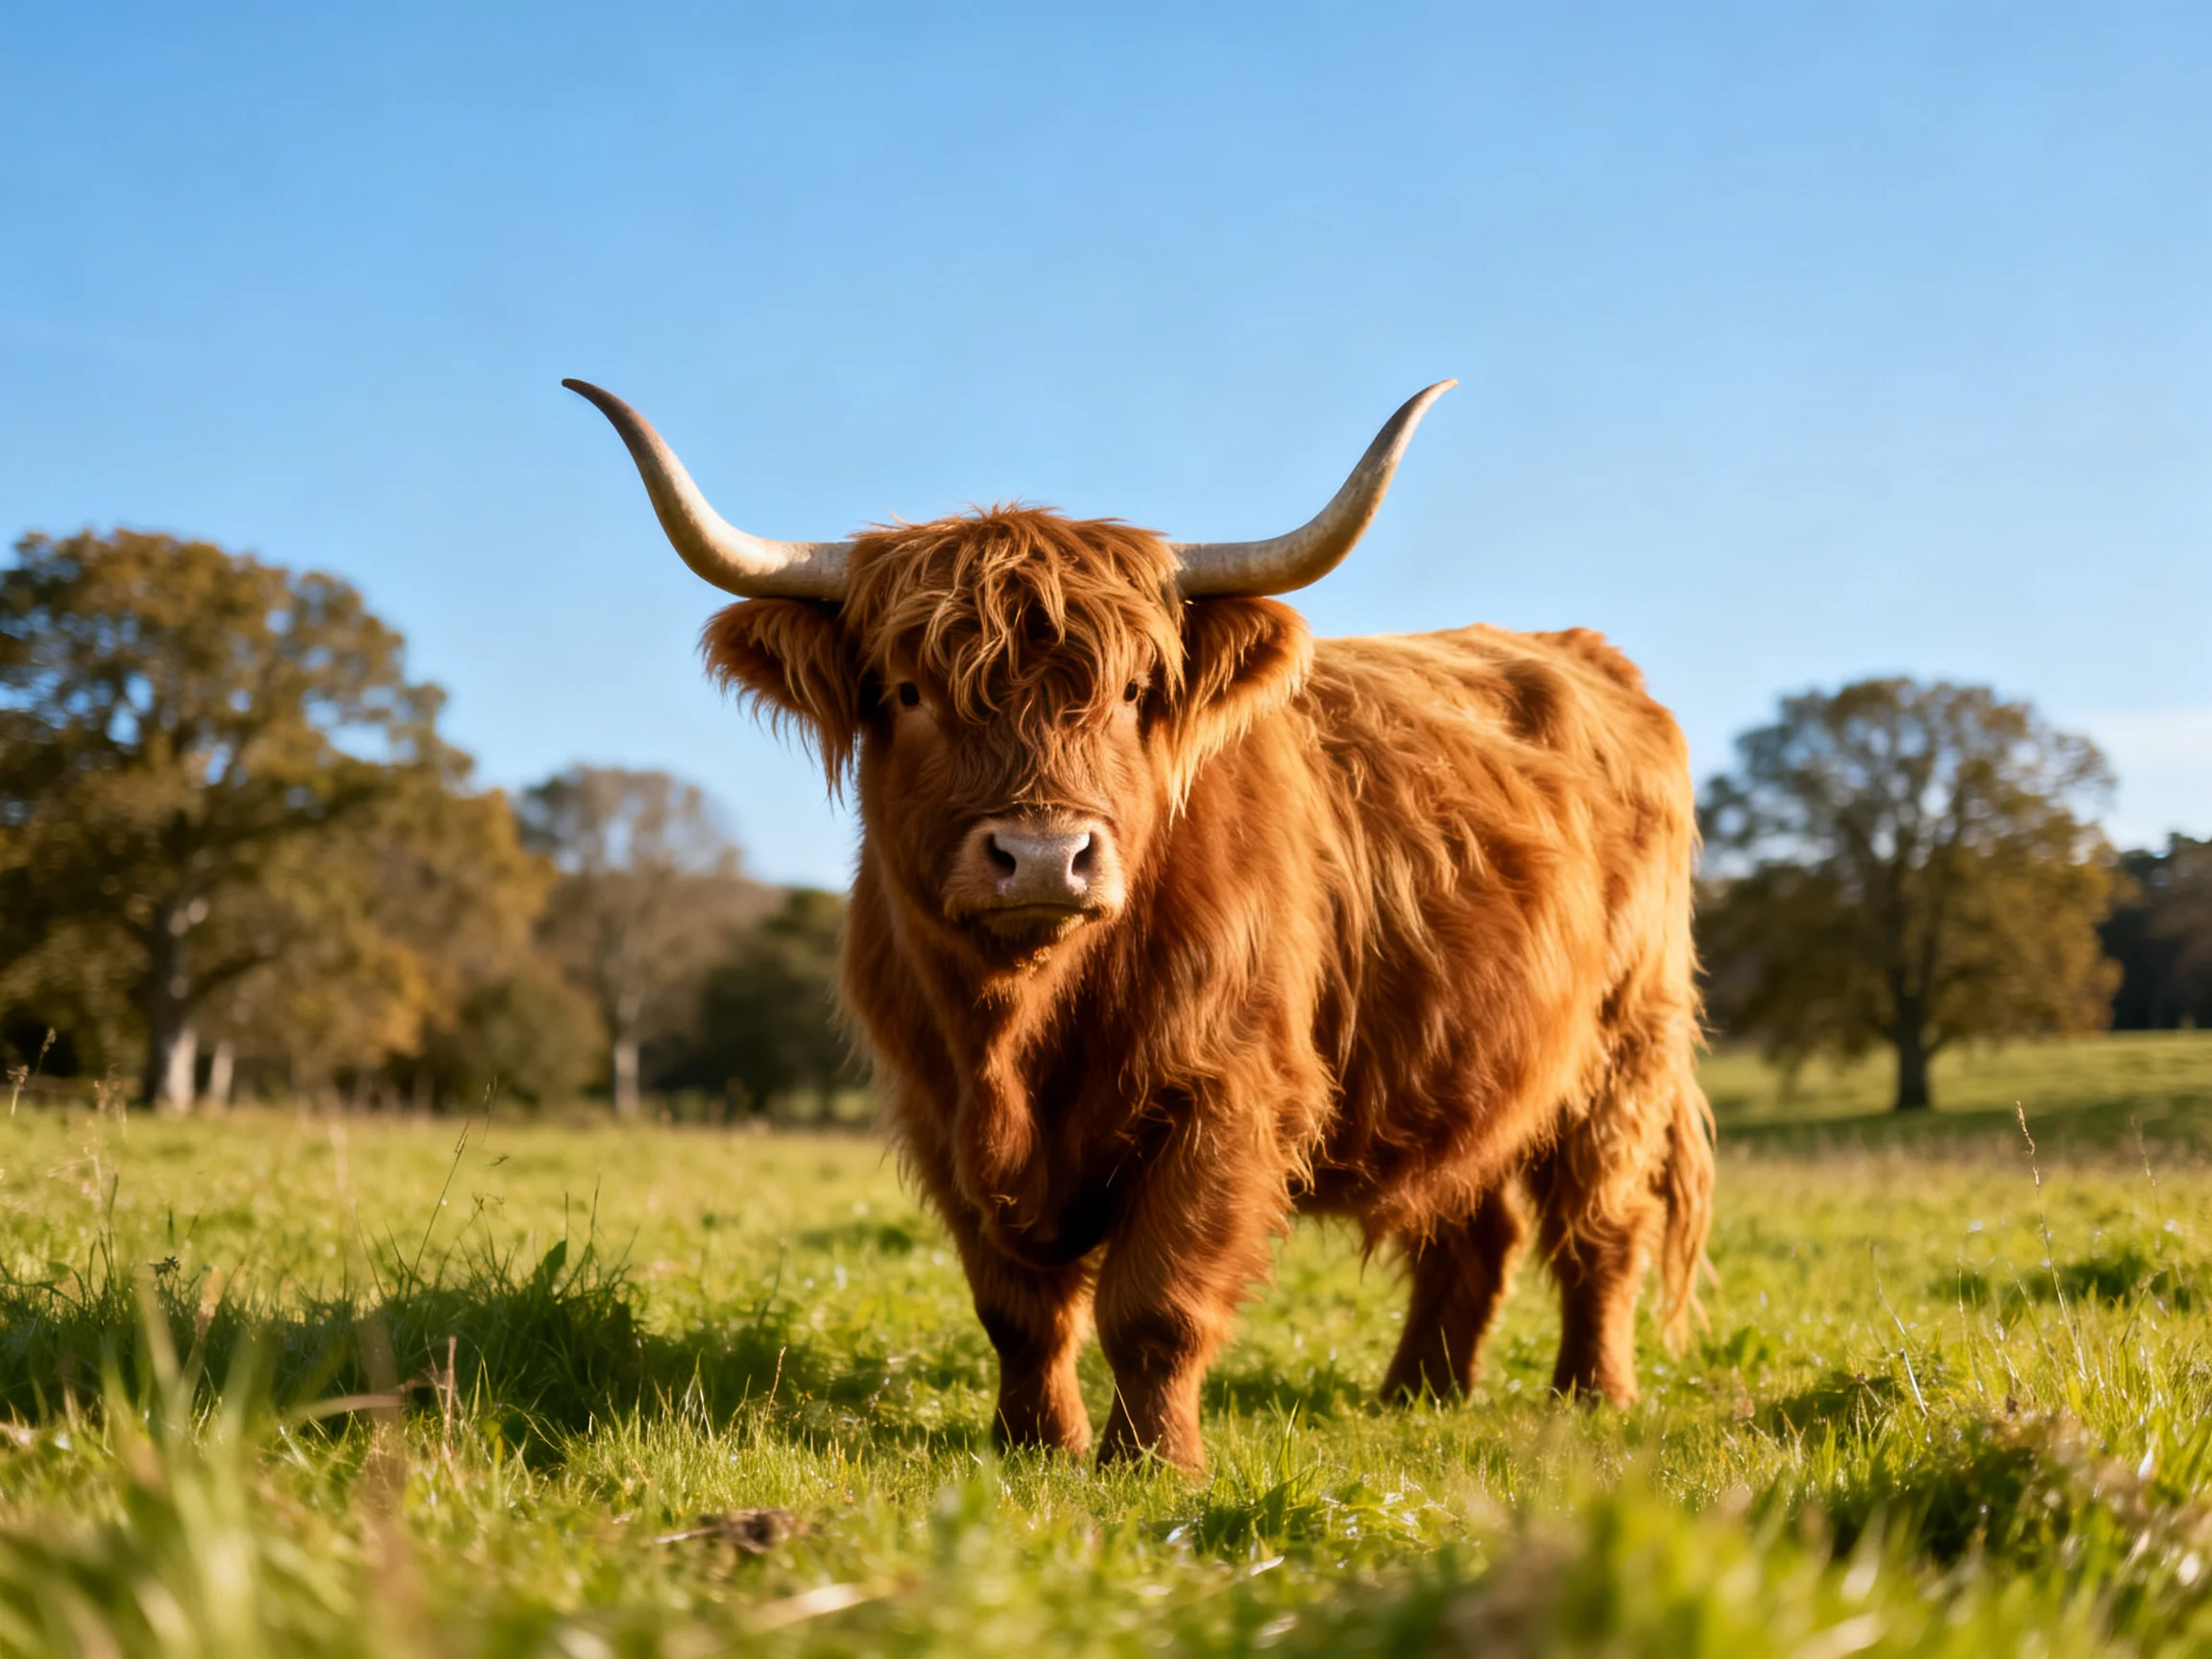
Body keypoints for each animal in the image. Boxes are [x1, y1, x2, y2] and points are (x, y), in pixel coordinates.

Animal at [566, 377, 1715, 1473]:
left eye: (1130, 692)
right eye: (908, 689)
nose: (1042, 856)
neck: (1026, 1025)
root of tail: (1579, 652)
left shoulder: (1226, 1095)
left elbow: (1155, 1305)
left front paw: (1155, 1462)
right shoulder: (940, 1112)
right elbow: (1018, 1312)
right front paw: (1035, 1443)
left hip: (1626, 1044)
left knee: (1603, 1225)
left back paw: (1592, 1394)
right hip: (1466, 1059)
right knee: (1472, 1226)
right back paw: (1419, 1394)